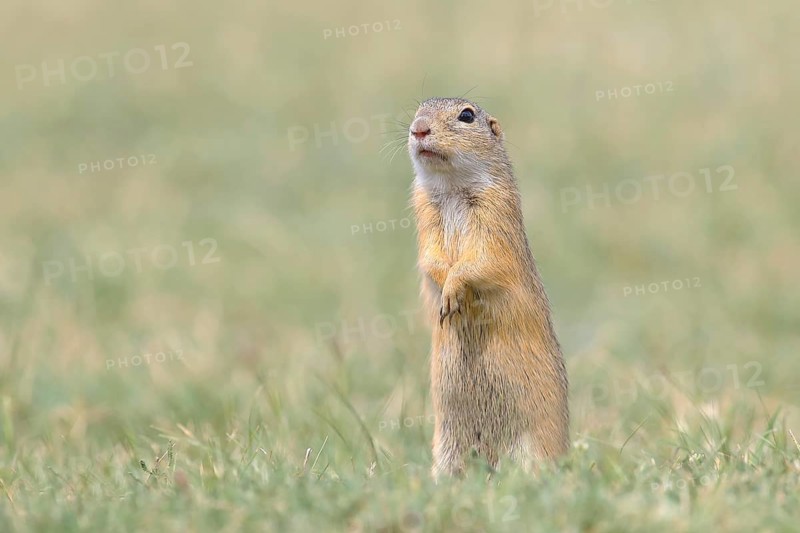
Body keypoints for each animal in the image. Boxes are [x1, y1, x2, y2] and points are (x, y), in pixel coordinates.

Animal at [406, 97, 569, 478]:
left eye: (466, 115)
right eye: (417, 109)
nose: (418, 129)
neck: (451, 186)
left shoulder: (495, 213)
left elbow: (483, 260)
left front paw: (453, 292)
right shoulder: (424, 214)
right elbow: (430, 258)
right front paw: (445, 295)